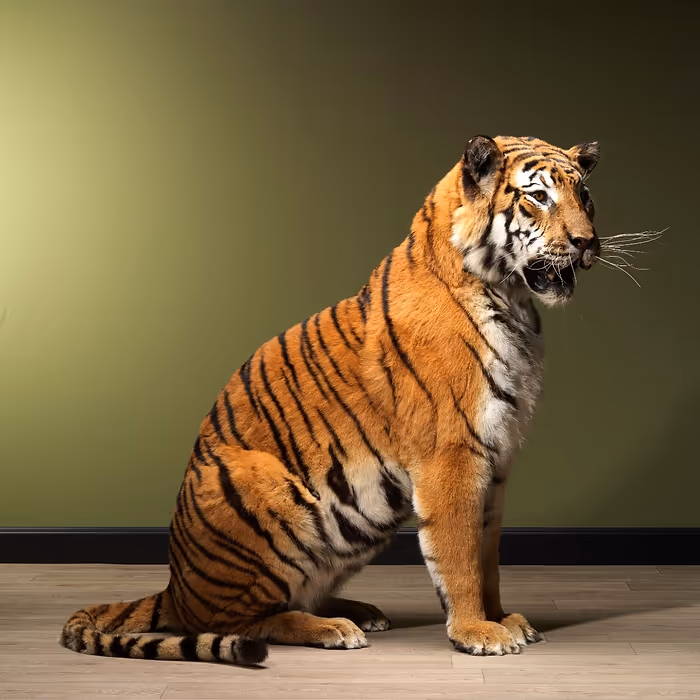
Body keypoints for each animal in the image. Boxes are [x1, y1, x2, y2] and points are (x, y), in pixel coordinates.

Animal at [60, 134, 600, 664]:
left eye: (585, 196)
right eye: (539, 197)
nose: (587, 243)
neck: (516, 303)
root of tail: (174, 589)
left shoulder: (499, 458)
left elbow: (488, 555)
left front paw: (504, 618)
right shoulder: (453, 454)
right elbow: (459, 554)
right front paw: (478, 632)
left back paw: (358, 611)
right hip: (265, 484)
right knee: (241, 620)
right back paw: (333, 628)